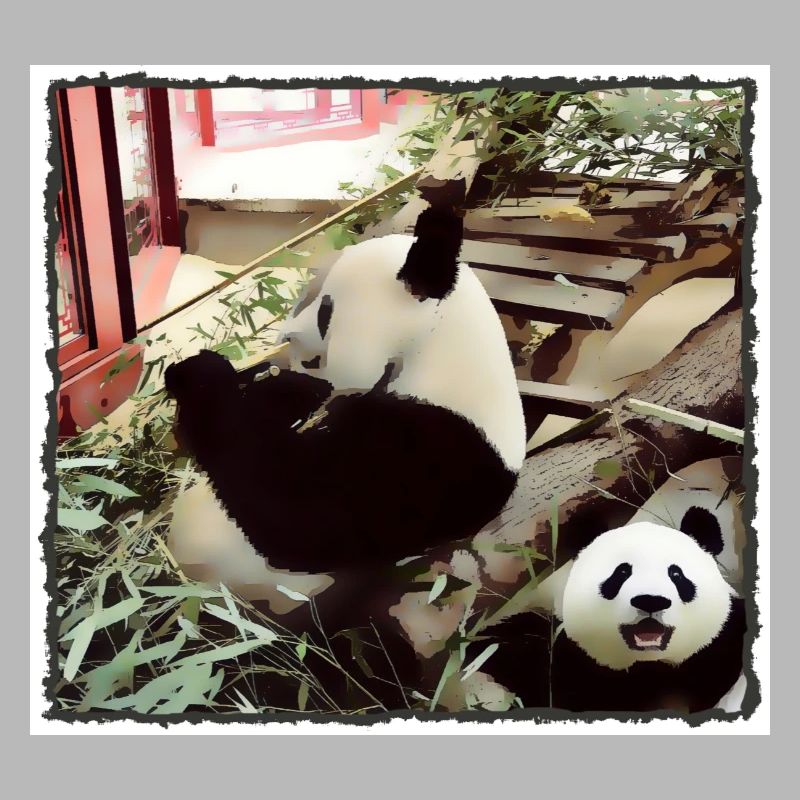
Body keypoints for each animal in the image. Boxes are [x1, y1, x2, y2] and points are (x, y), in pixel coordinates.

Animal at [164, 203, 526, 638]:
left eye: (325, 313)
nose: (286, 336)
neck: (438, 348)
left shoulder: (432, 454)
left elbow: (296, 517)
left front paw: (198, 376)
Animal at [478, 509, 747, 714]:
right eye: (622, 572)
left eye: (676, 574)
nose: (650, 601)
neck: (648, 665)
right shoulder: (570, 661)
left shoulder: (720, 643)